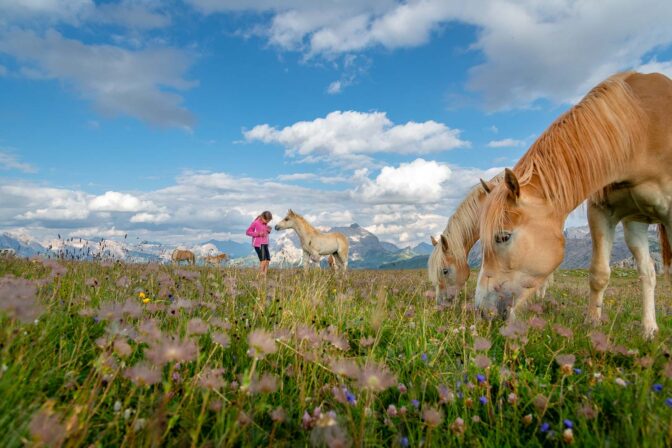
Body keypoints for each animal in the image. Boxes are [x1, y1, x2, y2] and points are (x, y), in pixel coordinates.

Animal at [476, 71, 672, 336]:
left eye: (503, 237)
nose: (482, 311)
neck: (642, 126)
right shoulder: (602, 212)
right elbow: (599, 273)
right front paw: (592, 323)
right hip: (635, 224)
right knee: (648, 272)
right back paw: (649, 329)